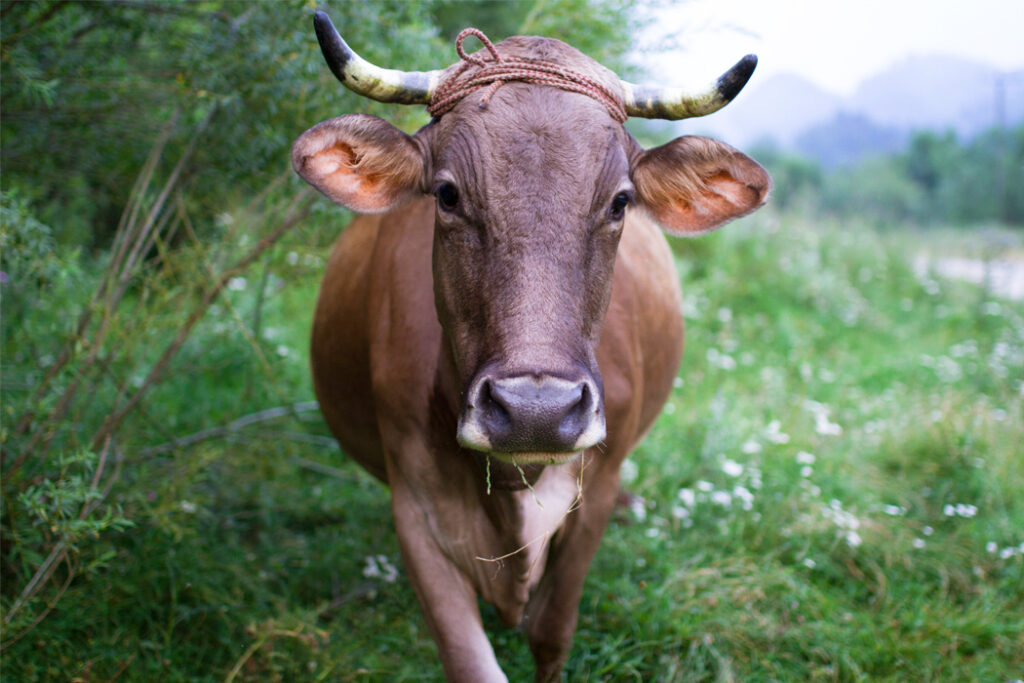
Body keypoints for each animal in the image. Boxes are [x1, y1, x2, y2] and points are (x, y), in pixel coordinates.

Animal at [291, 12, 771, 682]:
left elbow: (551, 632)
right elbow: (470, 661)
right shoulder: (416, 509)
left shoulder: (593, 493)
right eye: (447, 194)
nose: (535, 412)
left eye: (621, 201)